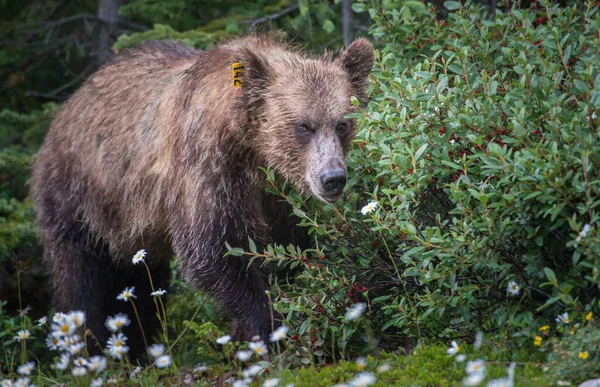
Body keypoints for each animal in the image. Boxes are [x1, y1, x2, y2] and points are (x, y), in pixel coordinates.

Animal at [30, 34, 372, 360]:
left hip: (134, 229)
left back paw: (135, 350)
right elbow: (216, 250)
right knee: (81, 280)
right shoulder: (209, 170)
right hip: (79, 195)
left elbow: (289, 248)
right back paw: (93, 351)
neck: (253, 150)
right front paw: (266, 330)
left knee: (139, 285)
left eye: (342, 123)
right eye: (303, 126)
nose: (333, 178)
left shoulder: (277, 197)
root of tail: (69, 104)